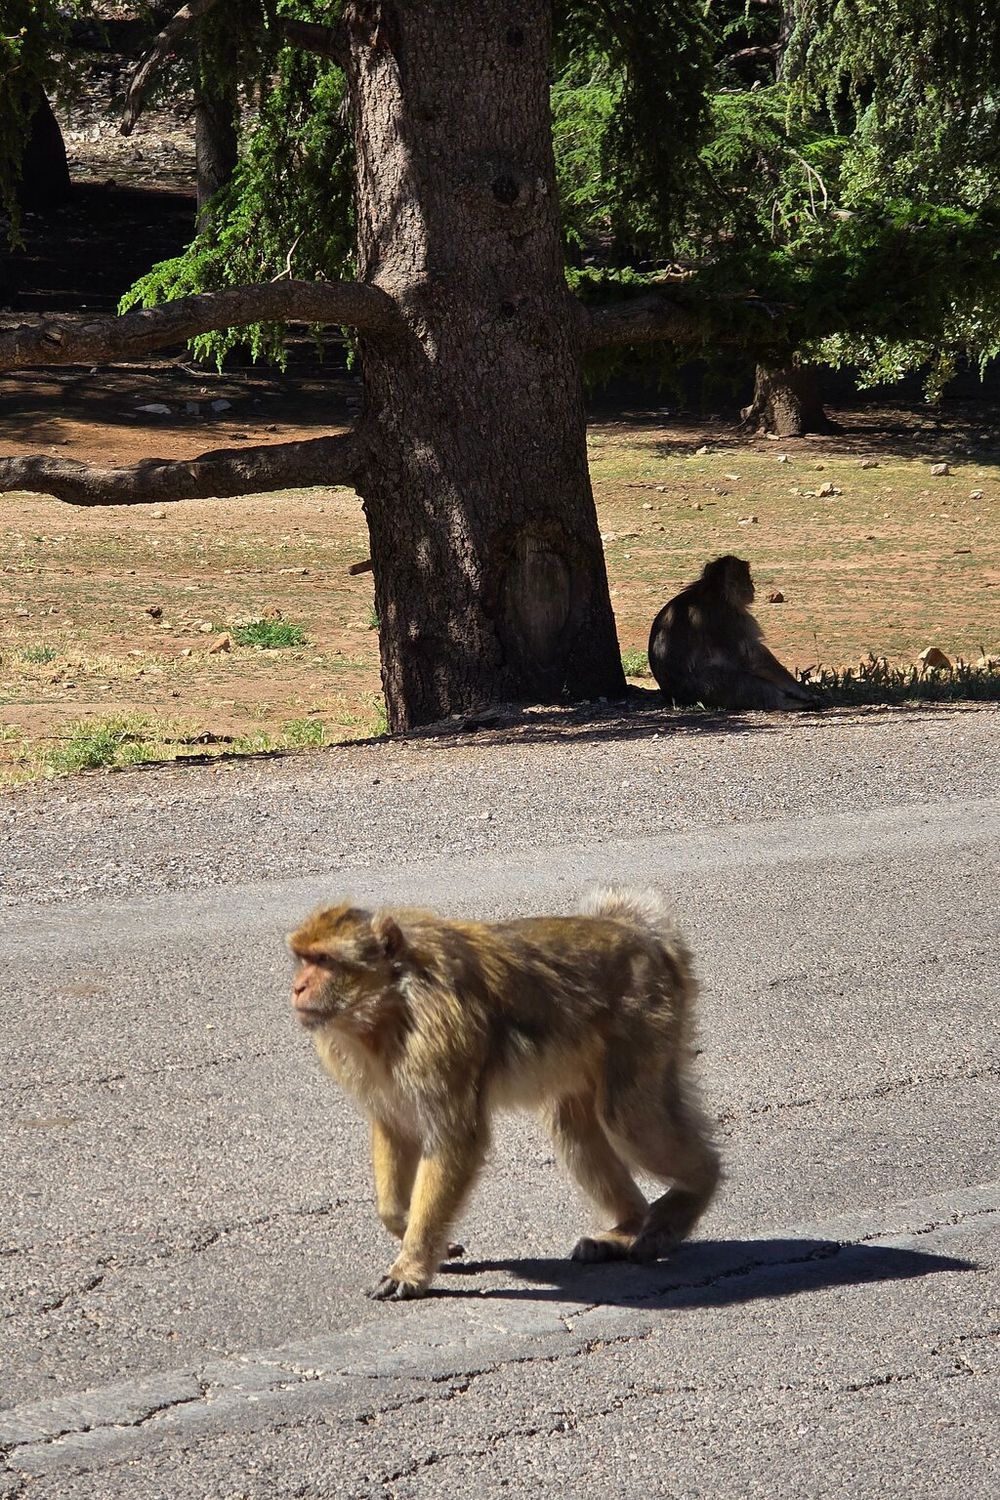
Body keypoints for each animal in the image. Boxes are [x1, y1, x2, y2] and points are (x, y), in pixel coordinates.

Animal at [289, 888, 719, 1302]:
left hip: (646, 1022)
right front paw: (408, 1225)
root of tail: (644, 935)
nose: (297, 987)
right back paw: (627, 1227)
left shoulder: (441, 1040)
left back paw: (694, 1191)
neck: (391, 1005)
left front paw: (410, 1267)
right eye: (303, 959)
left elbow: (456, 1139)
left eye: (324, 960)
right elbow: (396, 1129)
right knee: (573, 1128)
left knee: (627, 1118)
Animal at [650, 555, 821, 711]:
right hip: (711, 687)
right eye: (746, 577)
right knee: (748, 684)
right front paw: (801, 691)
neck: (714, 593)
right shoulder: (728, 619)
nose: (752, 586)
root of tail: (676, 697)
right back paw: (789, 703)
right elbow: (751, 657)